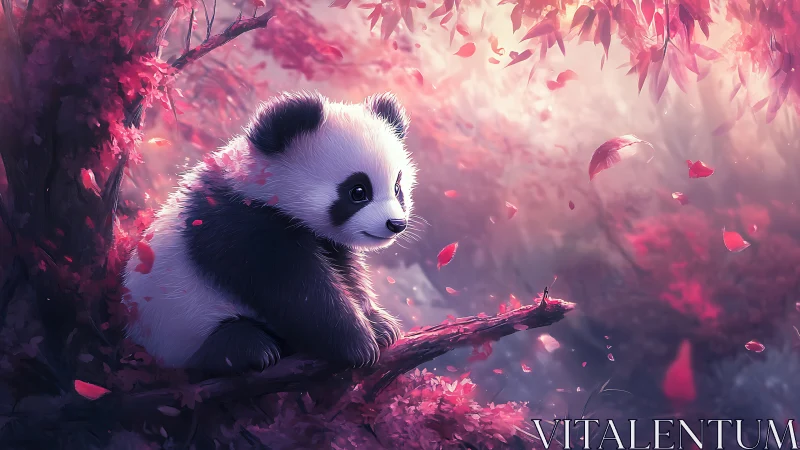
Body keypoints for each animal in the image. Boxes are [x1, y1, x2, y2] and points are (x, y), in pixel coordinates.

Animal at [121, 91, 416, 375]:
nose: (395, 224)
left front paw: (380, 325)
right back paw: (249, 349)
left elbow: (346, 271)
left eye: (397, 187)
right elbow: (295, 288)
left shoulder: (325, 239)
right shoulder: (241, 224)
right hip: (176, 324)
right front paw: (358, 344)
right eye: (358, 191)